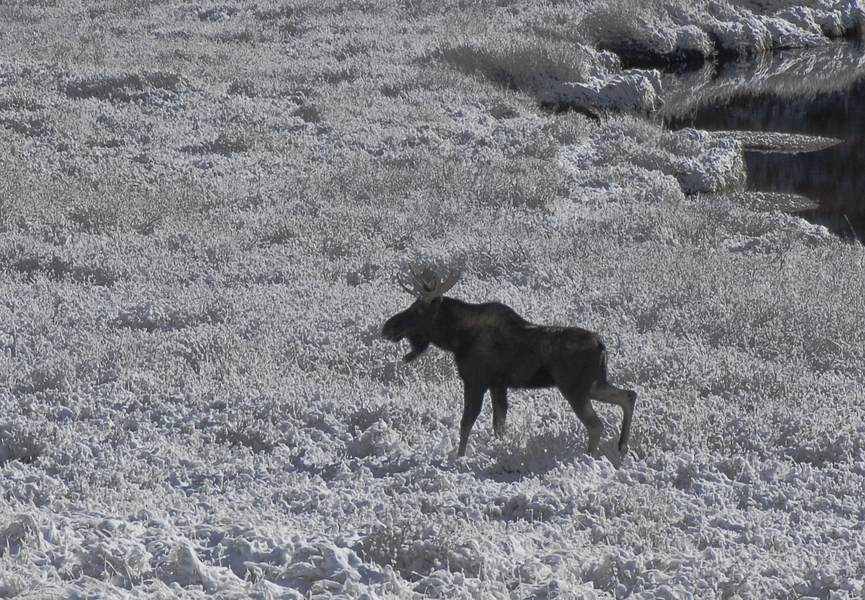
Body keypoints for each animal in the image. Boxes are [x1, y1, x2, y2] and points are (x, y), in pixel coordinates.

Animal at [382, 268, 636, 460]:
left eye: (419, 309)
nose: (387, 327)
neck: (456, 339)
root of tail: (602, 345)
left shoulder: (475, 381)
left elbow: (466, 422)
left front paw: (459, 457)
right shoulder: (498, 385)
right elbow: (499, 425)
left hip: (574, 388)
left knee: (596, 424)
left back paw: (589, 459)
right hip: (594, 384)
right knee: (628, 395)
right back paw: (622, 447)